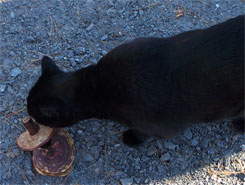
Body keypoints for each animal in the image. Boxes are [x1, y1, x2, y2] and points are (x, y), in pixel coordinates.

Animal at [27, 15, 244, 147]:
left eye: (36, 114)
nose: (29, 117)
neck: (97, 86)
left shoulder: (159, 127)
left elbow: (144, 133)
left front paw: (131, 138)